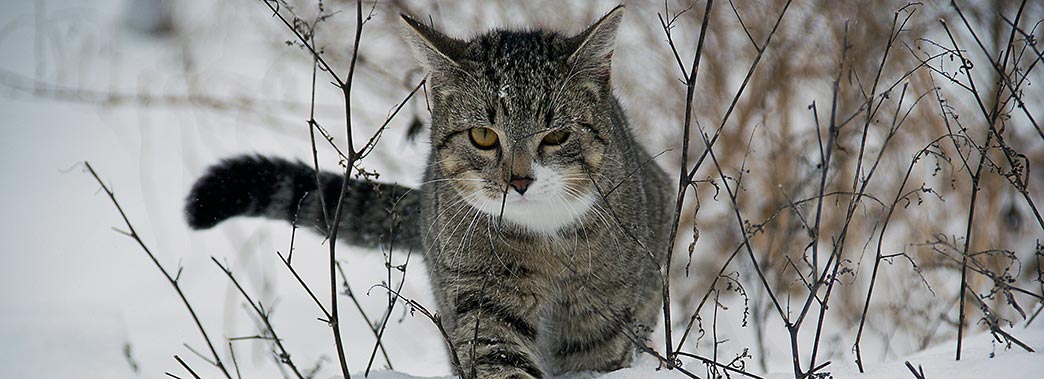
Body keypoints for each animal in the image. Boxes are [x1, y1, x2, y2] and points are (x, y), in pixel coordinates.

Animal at [185, 5, 676, 377]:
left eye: (556, 136)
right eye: (483, 136)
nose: (519, 181)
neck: (544, 242)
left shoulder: (603, 313)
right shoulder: (480, 297)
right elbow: (498, 355)